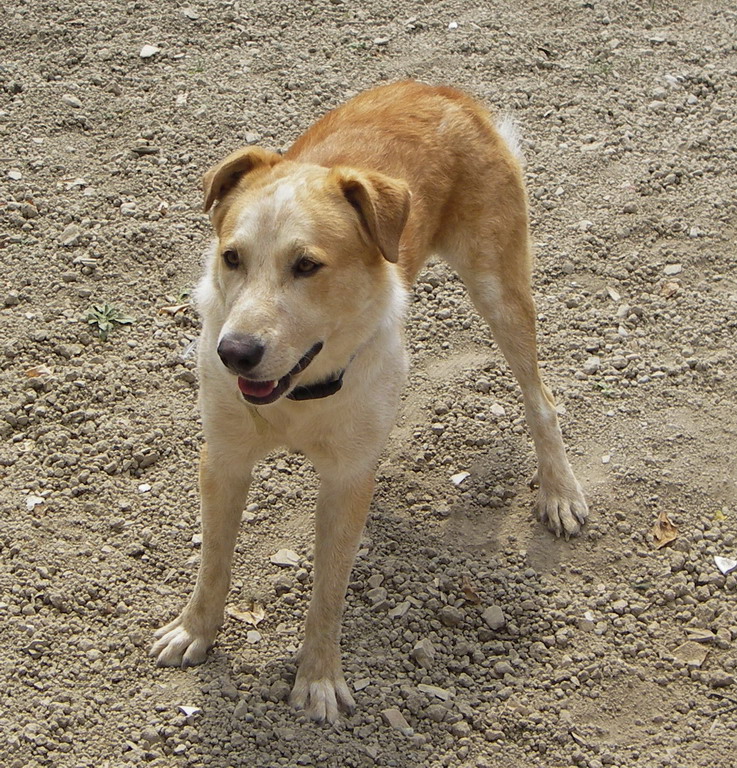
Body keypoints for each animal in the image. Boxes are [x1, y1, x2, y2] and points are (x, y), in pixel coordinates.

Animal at [150, 81, 588, 724]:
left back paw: (559, 491)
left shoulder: (346, 479)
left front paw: (318, 679)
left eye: (307, 265)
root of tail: (440, 89)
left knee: (542, 398)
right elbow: (213, 561)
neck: (300, 389)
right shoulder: (224, 459)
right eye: (231, 257)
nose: (234, 352)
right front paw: (195, 631)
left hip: (499, 287)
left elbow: (328, 592)